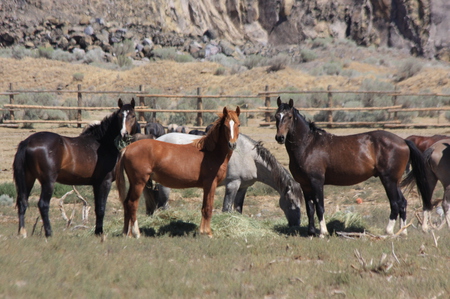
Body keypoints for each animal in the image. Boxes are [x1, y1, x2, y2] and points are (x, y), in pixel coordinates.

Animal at [13, 99, 141, 238]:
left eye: (133, 115)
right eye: (119, 116)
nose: (124, 134)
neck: (103, 144)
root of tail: (27, 142)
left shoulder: (96, 184)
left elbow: (97, 208)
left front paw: (97, 232)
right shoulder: (104, 182)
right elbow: (101, 208)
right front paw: (100, 233)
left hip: (28, 178)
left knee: (22, 203)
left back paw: (22, 233)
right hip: (48, 182)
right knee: (43, 204)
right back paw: (49, 233)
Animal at [116, 106, 241, 238]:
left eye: (238, 124)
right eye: (226, 126)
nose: (232, 144)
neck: (210, 152)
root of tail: (127, 148)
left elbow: (204, 207)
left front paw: (202, 231)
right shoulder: (210, 184)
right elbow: (208, 208)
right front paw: (207, 233)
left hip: (134, 183)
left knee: (126, 203)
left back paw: (127, 233)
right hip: (139, 182)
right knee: (132, 203)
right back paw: (136, 233)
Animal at [144, 132, 304, 226]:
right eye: (291, 201)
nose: (296, 224)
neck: (248, 156)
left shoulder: (243, 187)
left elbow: (238, 208)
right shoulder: (233, 184)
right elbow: (227, 208)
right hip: (165, 185)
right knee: (163, 205)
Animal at [272, 99, 430, 238]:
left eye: (289, 116)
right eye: (276, 116)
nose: (279, 138)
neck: (308, 145)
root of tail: (403, 141)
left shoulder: (316, 182)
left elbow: (320, 207)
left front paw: (323, 233)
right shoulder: (305, 185)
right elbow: (310, 209)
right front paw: (311, 233)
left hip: (388, 180)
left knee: (395, 203)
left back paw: (389, 231)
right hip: (395, 182)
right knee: (402, 202)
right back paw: (402, 232)